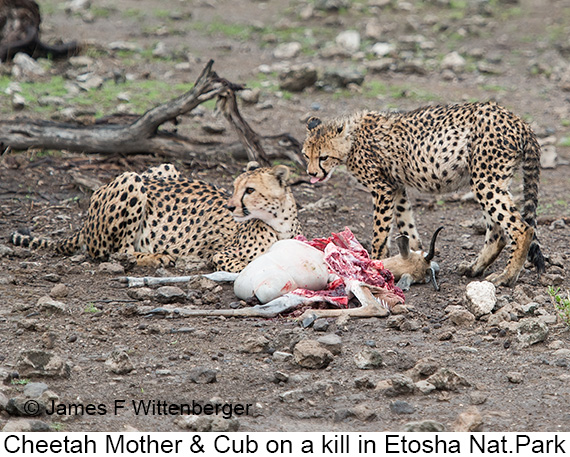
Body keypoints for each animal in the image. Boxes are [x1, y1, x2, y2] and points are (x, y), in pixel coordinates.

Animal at [11, 163, 300, 272]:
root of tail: (84, 225)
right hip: (131, 180)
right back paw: (158, 256)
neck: (279, 222)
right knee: (119, 252)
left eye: (249, 190)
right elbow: (244, 264)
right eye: (234, 187)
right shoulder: (221, 254)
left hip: (167, 168)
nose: (230, 207)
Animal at [302, 101, 544, 284]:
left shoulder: (382, 189)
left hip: (485, 180)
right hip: (489, 178)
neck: (351, 139)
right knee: (498, 233)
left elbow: (379, 234)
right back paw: (474, 269)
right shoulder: (396, 187)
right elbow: (407, 224)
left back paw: (507, 276)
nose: (312, 173)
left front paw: (374, 263)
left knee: (522, 228)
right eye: (306, 155)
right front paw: (415, 258)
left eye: (323, 157)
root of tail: (517, 120)